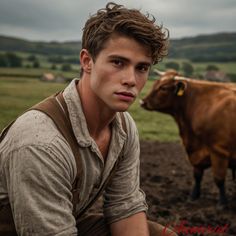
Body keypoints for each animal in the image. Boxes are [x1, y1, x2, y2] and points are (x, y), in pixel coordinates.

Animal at [141, 69, 236, 208]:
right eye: (155, 83)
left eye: (163, 88)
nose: (142, 102)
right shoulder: (196, 153)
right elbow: (197, 175)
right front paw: (193, 197)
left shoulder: (219, 152)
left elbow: (219, 179)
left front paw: (222, 203)